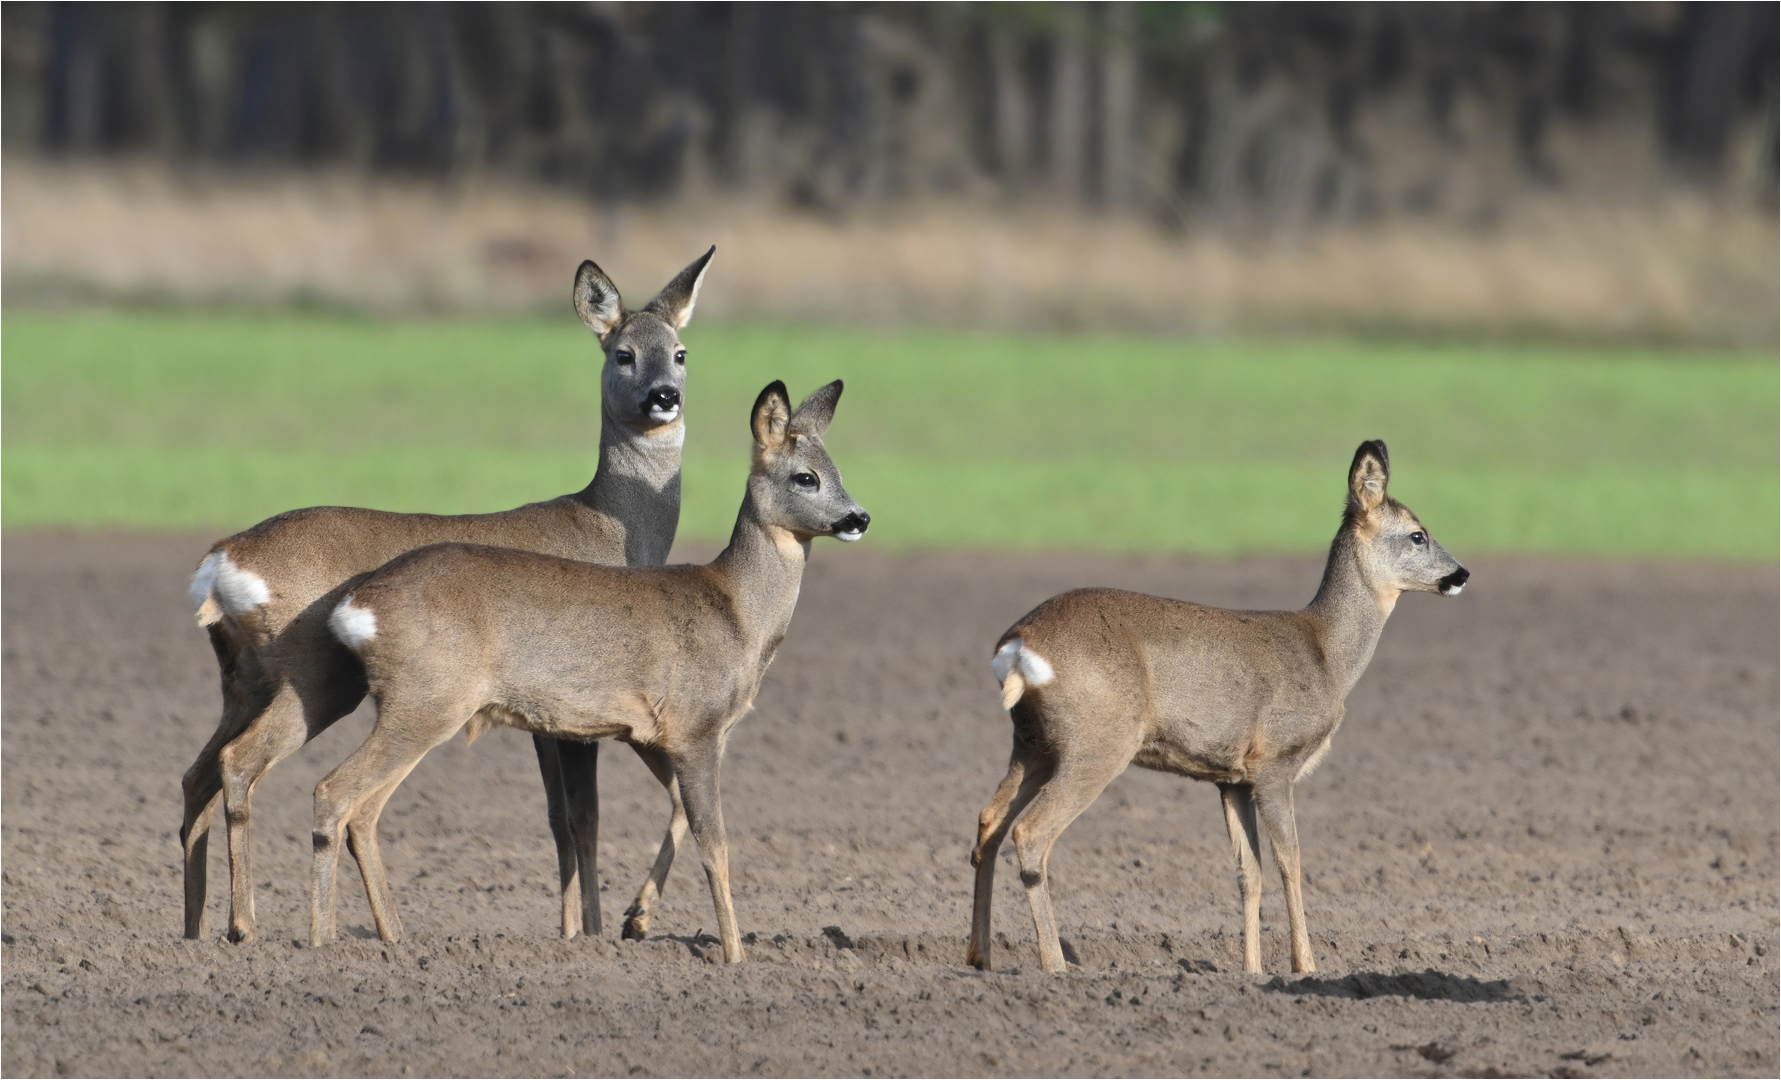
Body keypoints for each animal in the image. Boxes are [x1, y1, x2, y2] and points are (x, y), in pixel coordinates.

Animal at [177, 247, 712, 948]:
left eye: (680, 352)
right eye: (622, 353)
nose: (664, 398)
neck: (608, 526)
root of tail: (223, 561)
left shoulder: (547, 715)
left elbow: (562, 820)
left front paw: (577, 931)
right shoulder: (577, 704)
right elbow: (588, 817)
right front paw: (614, 924)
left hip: (243, 681)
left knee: (198, 776)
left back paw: (196, 930)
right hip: (315, 675)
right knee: (244, 765)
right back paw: (248, 927)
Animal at [313, 383, 869, 962]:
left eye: (838, 469)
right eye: (805, 477)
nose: (859, 518)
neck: (737, 613)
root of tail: (356, 605)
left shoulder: (652, 732)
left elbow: (673, 812)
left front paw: (637, 919)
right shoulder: (696, 727)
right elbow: (715, 844)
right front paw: (735, 957)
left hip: (416, 706)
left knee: (363, 810)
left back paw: (385, 938)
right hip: (426, 701)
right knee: (335, 791)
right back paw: (320, 941)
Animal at [968, 443, 1467, 976]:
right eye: (1418, 534)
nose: (1462, 574)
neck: (1327, 656)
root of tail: (1018, 645)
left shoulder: (1232, 779)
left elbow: (1249, 872)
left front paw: (1252, 970)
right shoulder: (1275, 761)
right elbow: (1291, 863)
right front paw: (1305, 966)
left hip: (1033, 744)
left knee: (989, 823)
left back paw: (980, 957)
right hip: (1098, 742)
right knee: (1030, 833)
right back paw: (1055, 966)